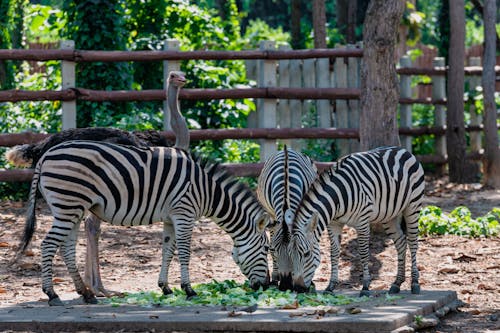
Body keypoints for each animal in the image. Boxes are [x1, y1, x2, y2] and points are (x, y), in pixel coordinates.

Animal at [20, 139, 270, 304]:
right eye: (267, 249)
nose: (266, 286)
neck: (206, 191)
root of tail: (45, 155)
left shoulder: (171, 218)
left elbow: (168, 251)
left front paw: (166, 288)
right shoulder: (184, 214)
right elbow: (185, 253)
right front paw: (189, 290)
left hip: (72, 208)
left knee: (66, 249)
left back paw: (86, 293)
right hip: (68, 204)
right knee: (48, 245)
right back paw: (52, 294)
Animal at [256, 145, 318, 288]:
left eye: (291, 252)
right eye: (273, 249)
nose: (285, 285)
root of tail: (287, 149)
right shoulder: (272, 214)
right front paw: (276, 277)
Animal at [288, 147, 424, 294]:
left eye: (306, 254)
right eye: (290, 255)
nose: (298, 289)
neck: (337, 198)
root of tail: (403, 150)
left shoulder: (362, 222)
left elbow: (363, 253)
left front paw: (365, 286)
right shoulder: (334, 224)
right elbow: (334, 253)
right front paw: (330, 286)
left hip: (413, 206)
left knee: (413, 243)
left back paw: (415, 283)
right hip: (390, 216)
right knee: (401, 243)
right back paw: (397, 283)